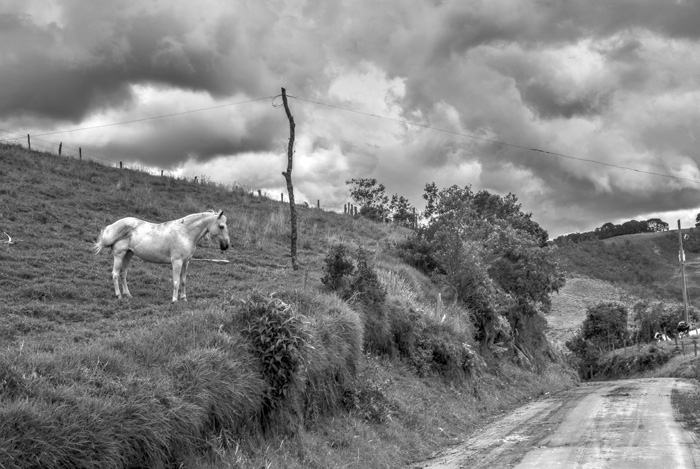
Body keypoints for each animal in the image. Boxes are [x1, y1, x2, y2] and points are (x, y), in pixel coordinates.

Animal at [92, 210, 230, 302]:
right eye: (221, 226)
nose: (226, 245)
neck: (184, 232)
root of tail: (112, 226)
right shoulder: (177, 262)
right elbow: (176, 281)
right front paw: (174, 300)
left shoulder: (186, 262)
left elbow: (184, 280)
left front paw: (184, 298)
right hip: (119, 255)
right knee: (115, 274)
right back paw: (119, 296)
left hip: (128, 254)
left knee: (123, 274)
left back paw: (128, 294)